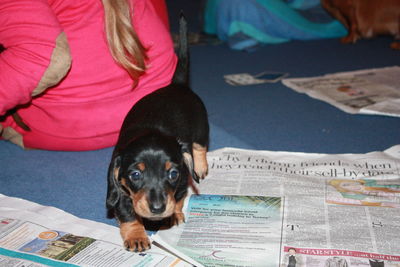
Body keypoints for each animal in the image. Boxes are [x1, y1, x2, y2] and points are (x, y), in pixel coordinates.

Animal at [105, 15, 209, 253]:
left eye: (173, 173)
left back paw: (200, 166)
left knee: (200, 147)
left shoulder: (181, 183)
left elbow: (178, 199)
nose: (158, 208)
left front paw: (173, 216)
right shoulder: (120, 189)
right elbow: (128, 214)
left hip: (201, 128)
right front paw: (136, 236)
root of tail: (177, 85)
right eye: (135, 175)